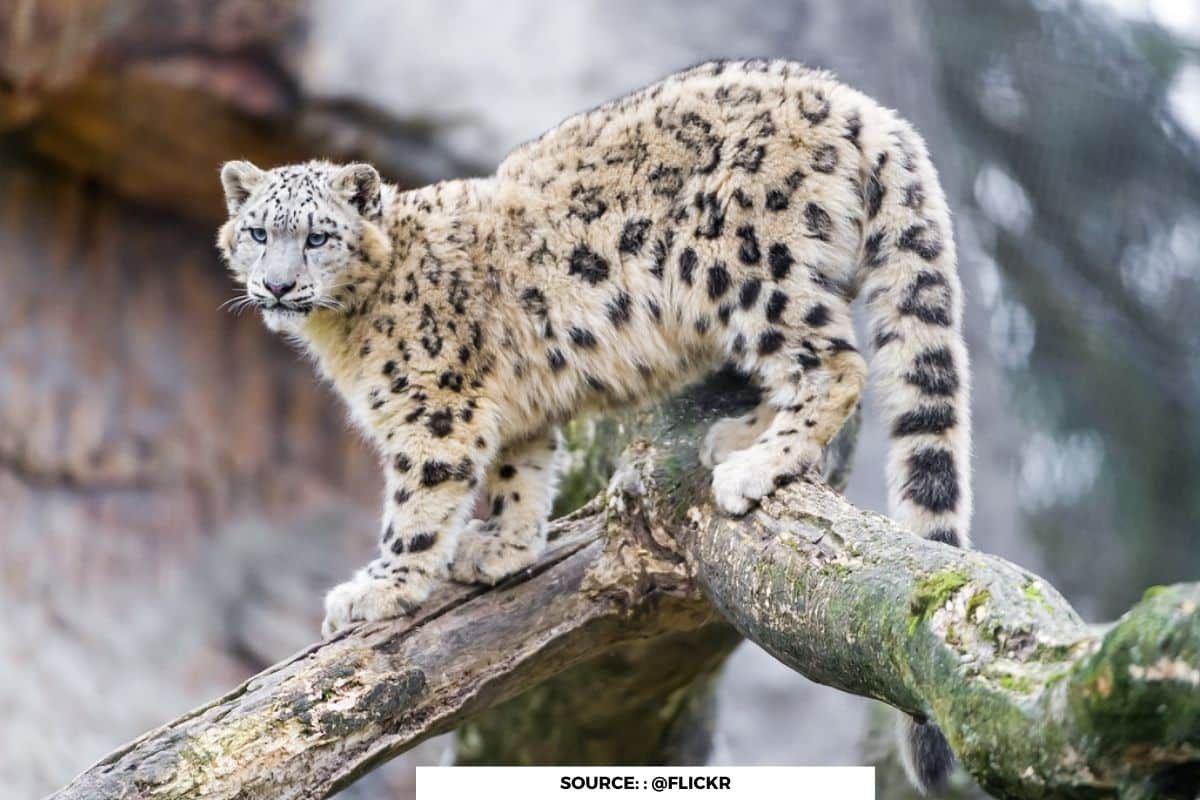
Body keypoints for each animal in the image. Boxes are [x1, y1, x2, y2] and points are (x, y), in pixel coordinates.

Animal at [217, 59, 971, 793]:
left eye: (318, 236)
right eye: (257, 233)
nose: (277, 285)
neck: (341, 334)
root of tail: (858, 106)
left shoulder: (434, 408)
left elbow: (417, 506)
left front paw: (379, 590)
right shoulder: (510, 404)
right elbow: (522, 469)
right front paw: (504, 549)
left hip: (749, 268)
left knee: (838, 364)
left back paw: (756, 465)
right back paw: (736, 437)